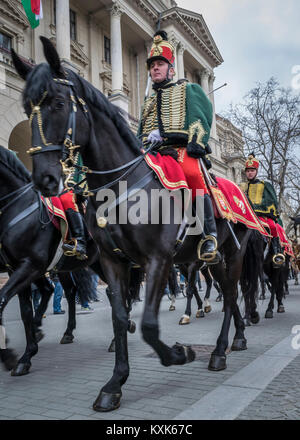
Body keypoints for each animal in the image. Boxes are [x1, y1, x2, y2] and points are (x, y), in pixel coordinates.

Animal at [11, 36, 251, 410]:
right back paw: (236, 339)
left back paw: (220, 351)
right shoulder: (114, 262)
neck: (122, 184)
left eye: (58, 103)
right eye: (27, 108)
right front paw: (115, 383)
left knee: (229, 295)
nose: (45, 180)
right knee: (227, 293)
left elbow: (150, 323)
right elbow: (120, 317)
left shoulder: (159, 259)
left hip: (231, 254)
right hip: (212, 263)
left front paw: (179, 353)